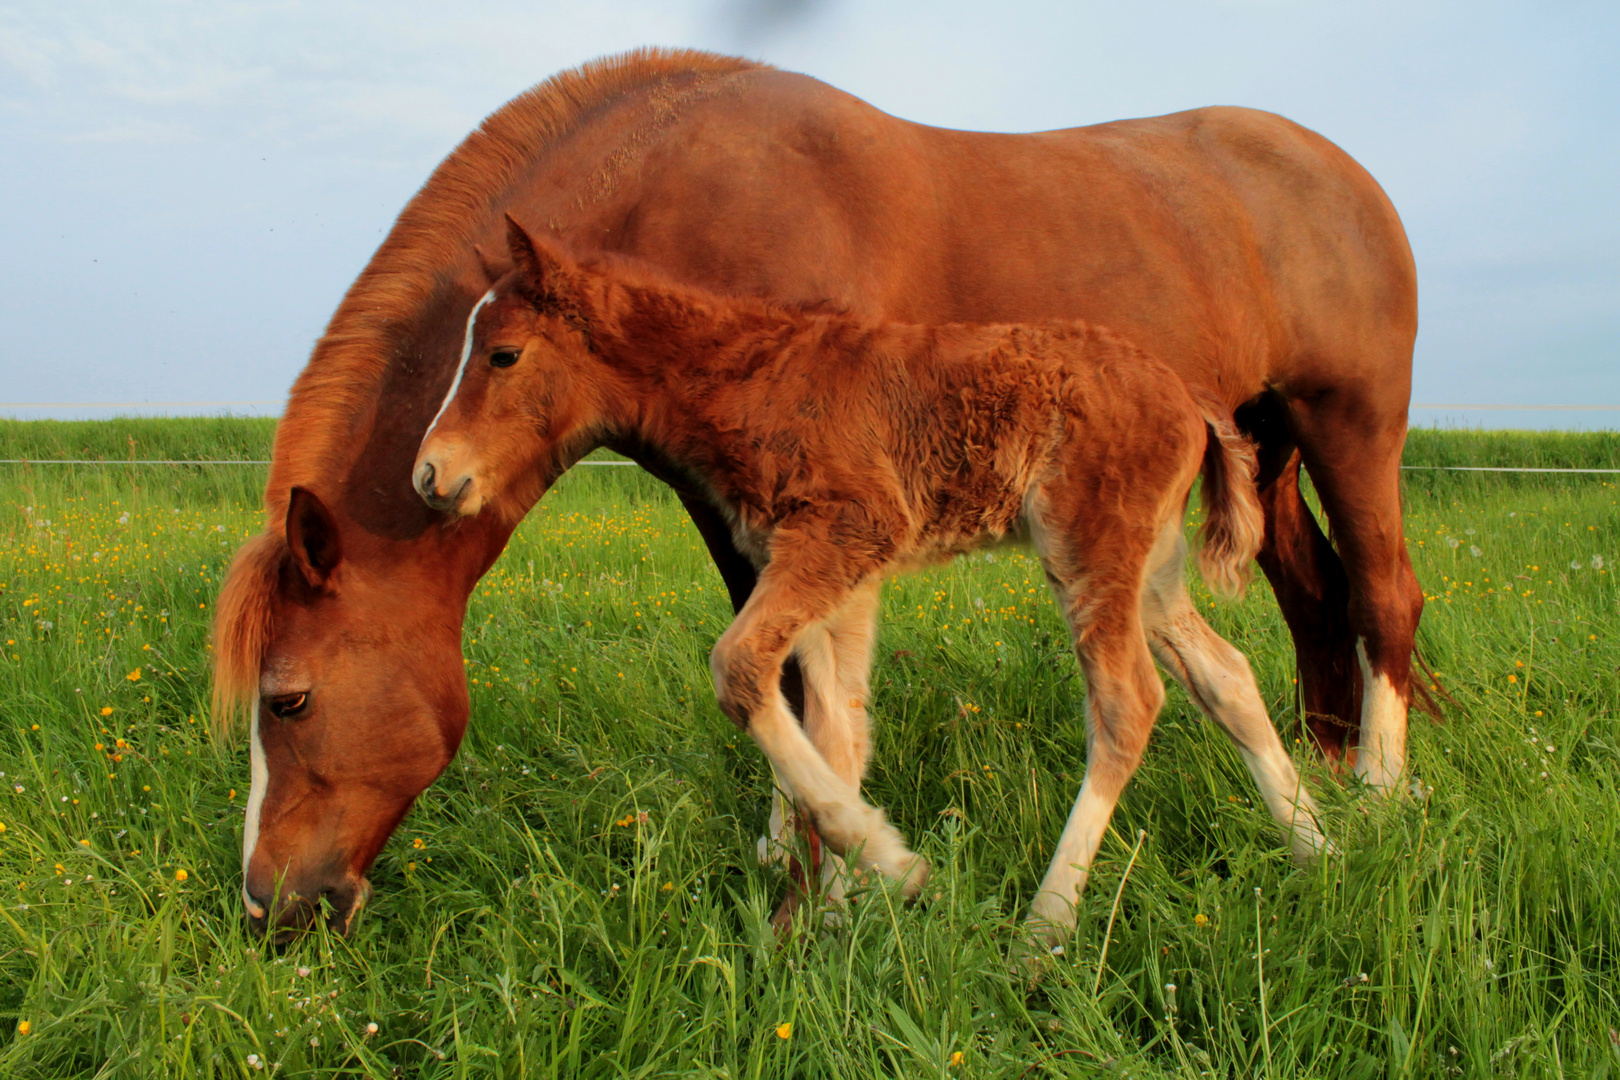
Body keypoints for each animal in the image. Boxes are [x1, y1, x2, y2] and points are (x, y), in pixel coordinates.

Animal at [408, 221, 1328, 945]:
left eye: (503, 354)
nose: (429, 474)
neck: (750, 375)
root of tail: (1188, 393)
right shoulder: (835, 573)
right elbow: (839, 727)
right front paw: (829, 913)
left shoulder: (844, 532)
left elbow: (741, 670)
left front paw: (889, 865)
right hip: (1153, 567)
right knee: (1226, 676)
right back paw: (1319, 848)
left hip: (1091, 548)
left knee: (1129, 702)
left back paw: (1044, 930)